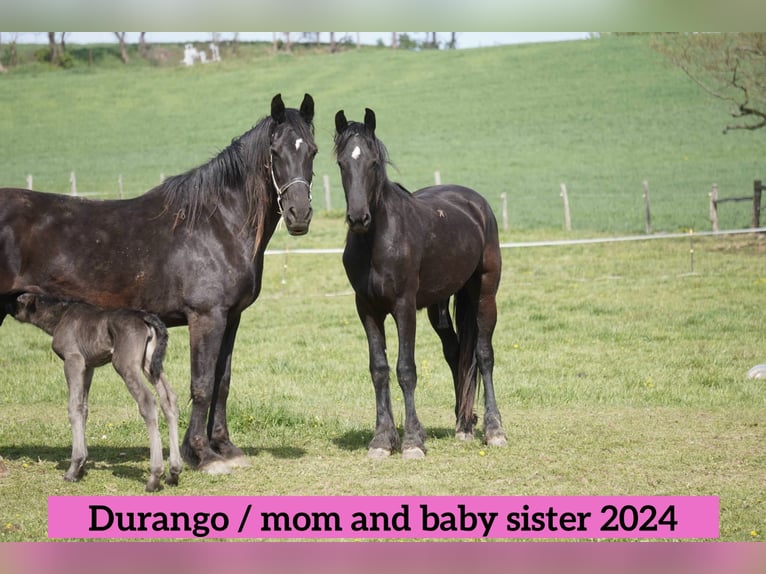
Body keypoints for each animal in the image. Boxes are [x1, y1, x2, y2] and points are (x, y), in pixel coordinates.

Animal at [12, 293, 180, 492]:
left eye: (15, 301)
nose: (11, 313)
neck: (59, 316)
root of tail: (145, 316)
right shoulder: (89, 366)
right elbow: (84, 407)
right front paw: (81, 468)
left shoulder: (73, 360)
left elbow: (74, 407)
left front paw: (73, 468)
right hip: (150, 363)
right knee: (169, 399)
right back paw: (174, 473)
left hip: (125, 363)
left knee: (147, 401)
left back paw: (154, 477)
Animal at [334, 108, 508, 459]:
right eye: (342, 163)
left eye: (373, 162)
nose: (358, 218)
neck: (377, 240)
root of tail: (476, 204)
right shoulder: (367, 309)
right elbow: (379, 369)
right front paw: (382, 440)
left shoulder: (404, 307)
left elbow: (406, 369)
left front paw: (413, 440)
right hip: (438, 304)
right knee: (456, 352)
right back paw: (463, 425)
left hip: (485, 293)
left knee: (483, 354)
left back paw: (493, 429)